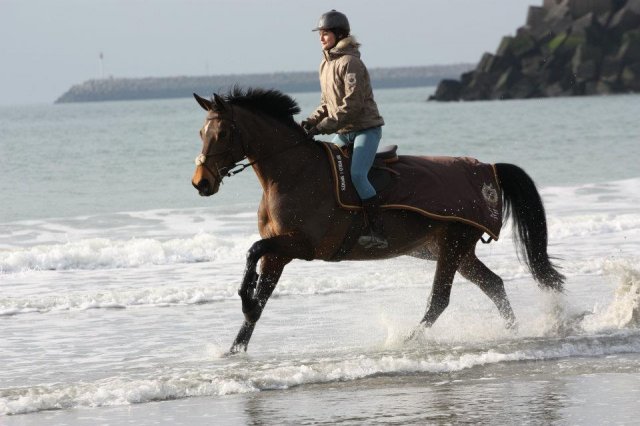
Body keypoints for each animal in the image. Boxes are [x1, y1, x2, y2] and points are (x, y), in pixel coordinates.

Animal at [190, 85, 564, 352]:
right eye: (201, 134)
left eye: (222, 134)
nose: (200, 183)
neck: (291, 173)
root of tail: (489, 170)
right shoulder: (279, 253)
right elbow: (261, 287)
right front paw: (237, 343)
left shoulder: (302, 245)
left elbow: (253, 250)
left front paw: (245, 303)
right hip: (451, 249)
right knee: (493, 285)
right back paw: (514, 332)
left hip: (453, 245)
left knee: (440, 300)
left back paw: (408, 340)